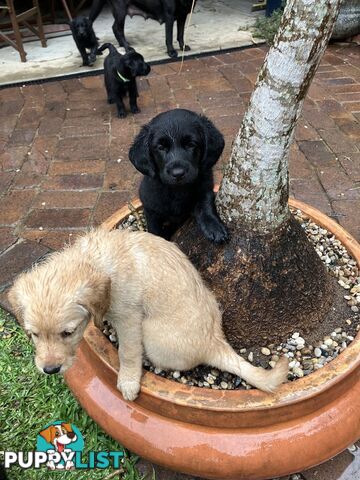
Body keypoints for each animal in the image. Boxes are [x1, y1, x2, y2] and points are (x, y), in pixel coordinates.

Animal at [8, 227, 288, 400]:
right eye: (34, 334)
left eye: (68, 332)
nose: (50, 370)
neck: (95, 261)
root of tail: (214, 342)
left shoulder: (129, 318)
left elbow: (128, 352)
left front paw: (129, 381)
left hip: (151, 334)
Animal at [129, 109, 228, 244]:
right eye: (160, 147)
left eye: (191, 144)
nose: (178, 173)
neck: (178, 190)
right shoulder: (150, 209)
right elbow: (155, 230)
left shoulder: (206, 187)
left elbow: (205, 203)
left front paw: (214, 227)